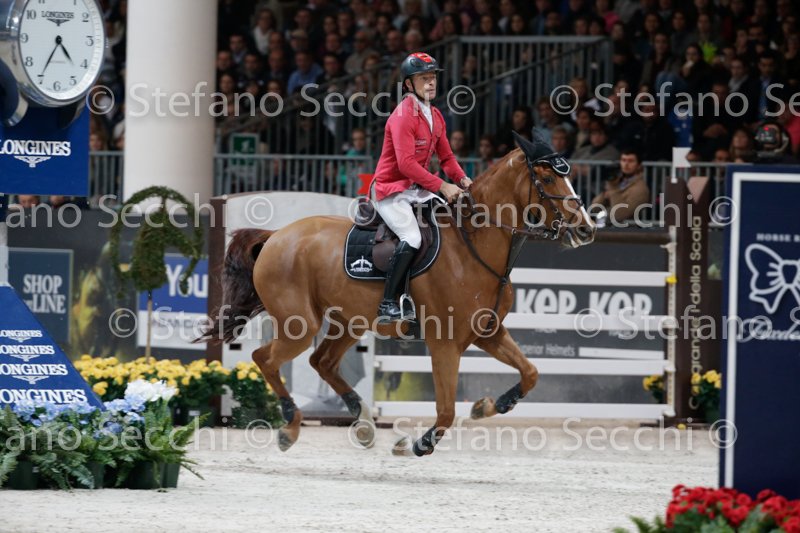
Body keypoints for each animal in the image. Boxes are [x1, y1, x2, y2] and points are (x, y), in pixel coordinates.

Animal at [201, 133, 596, 456]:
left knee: (321, 362)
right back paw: (291, 426)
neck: (473, 246)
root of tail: (277, 235)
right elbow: (446, 410)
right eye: (548, 177)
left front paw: (488, 405)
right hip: (300, 325)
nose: (587, 229)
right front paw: (416, 444)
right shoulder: (445, 343)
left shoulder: (488, 333)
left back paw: (363, 423)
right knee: (265, 358)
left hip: (349, 322)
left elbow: (530, 373)